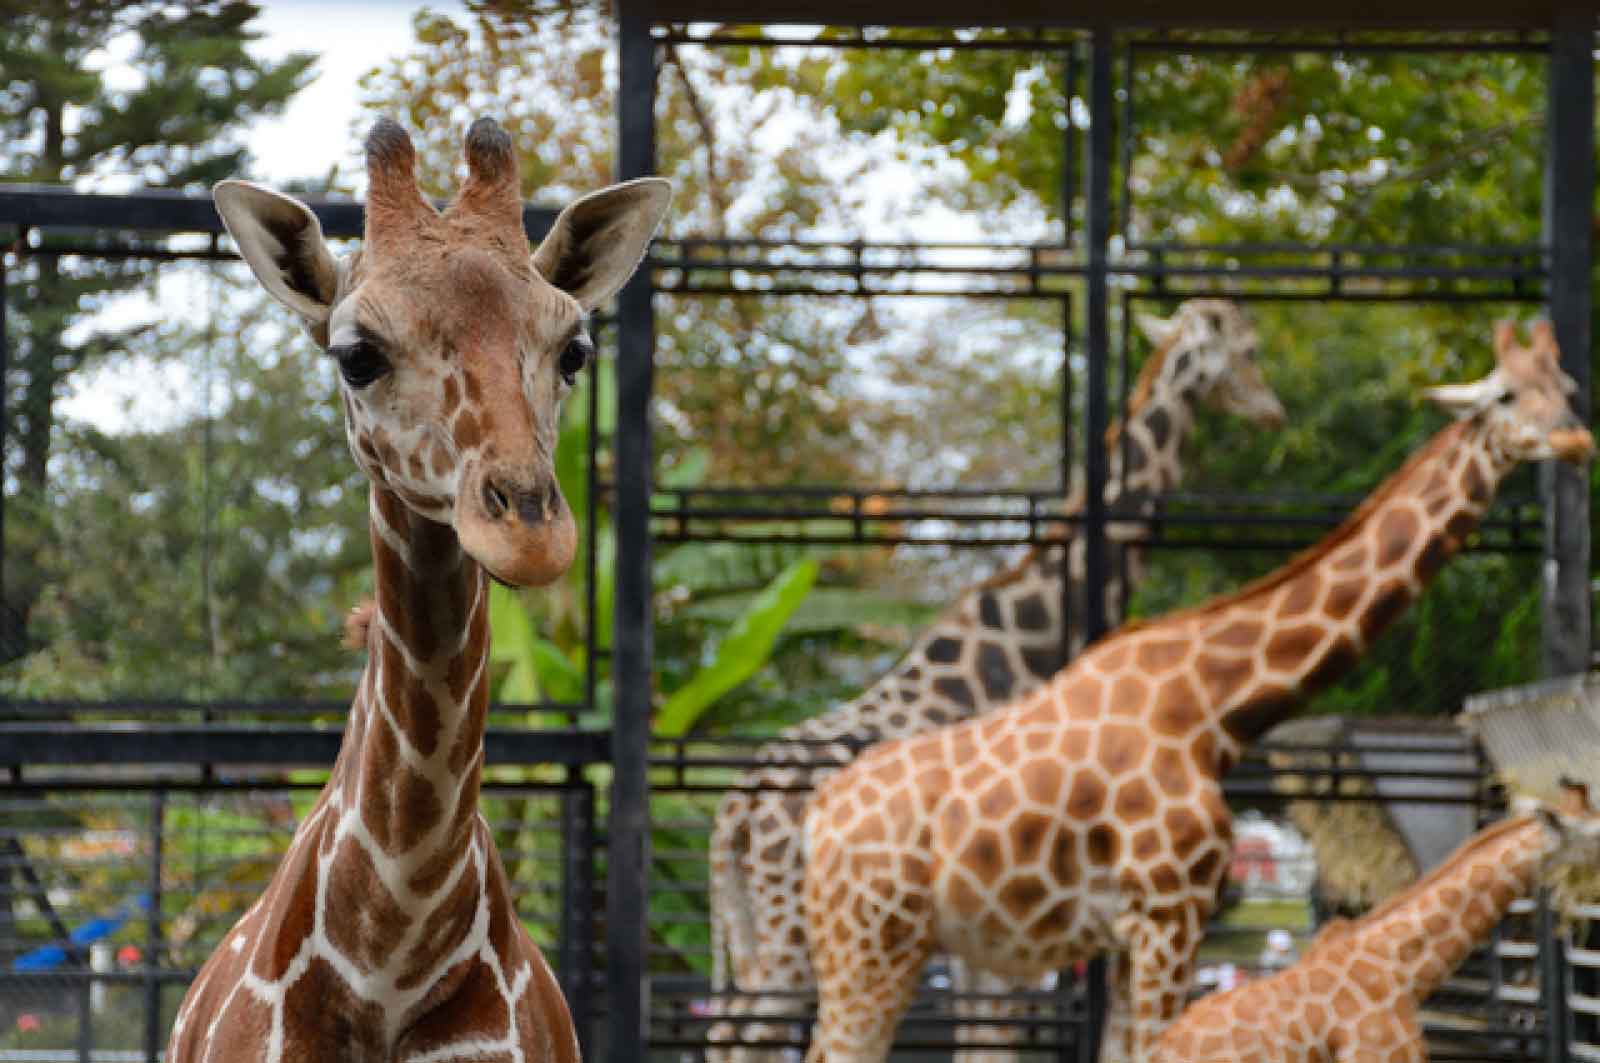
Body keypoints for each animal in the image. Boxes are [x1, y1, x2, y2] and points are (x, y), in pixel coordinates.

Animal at [707, 299, 1280, 1063]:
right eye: (1248, 351)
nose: (1274, 410)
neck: (1028, 642)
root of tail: (737, 806)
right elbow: (996, 1036)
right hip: (795, 931)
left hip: (752, 922)